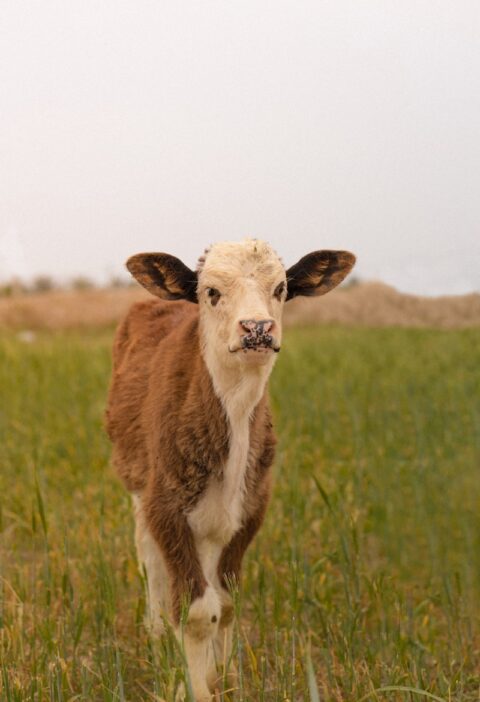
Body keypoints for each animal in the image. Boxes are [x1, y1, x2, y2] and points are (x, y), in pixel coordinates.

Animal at [105, 239, 355, 701]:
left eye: (280, 289)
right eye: (212, 293)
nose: (257, 327)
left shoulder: (252, 508)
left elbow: (224, 602)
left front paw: (223, 678)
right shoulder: (165, 505)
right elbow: (195, 610)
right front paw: (193, 688)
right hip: (137, 483)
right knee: (149, 556)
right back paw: (155, 632)